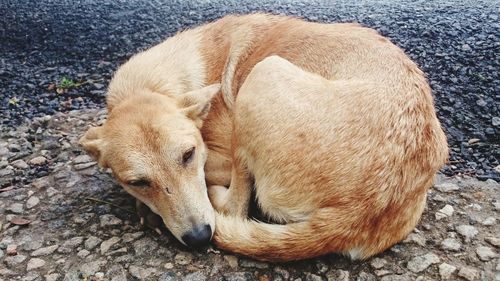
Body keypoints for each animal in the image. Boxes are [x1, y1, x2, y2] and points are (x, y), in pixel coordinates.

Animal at [80, 13, 448, 260]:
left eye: (188, 155)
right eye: (139, 182)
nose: (199, 238)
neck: (152, 85)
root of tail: (362, 208)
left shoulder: (220, 156)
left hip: (263, 73)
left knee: (236, 203)